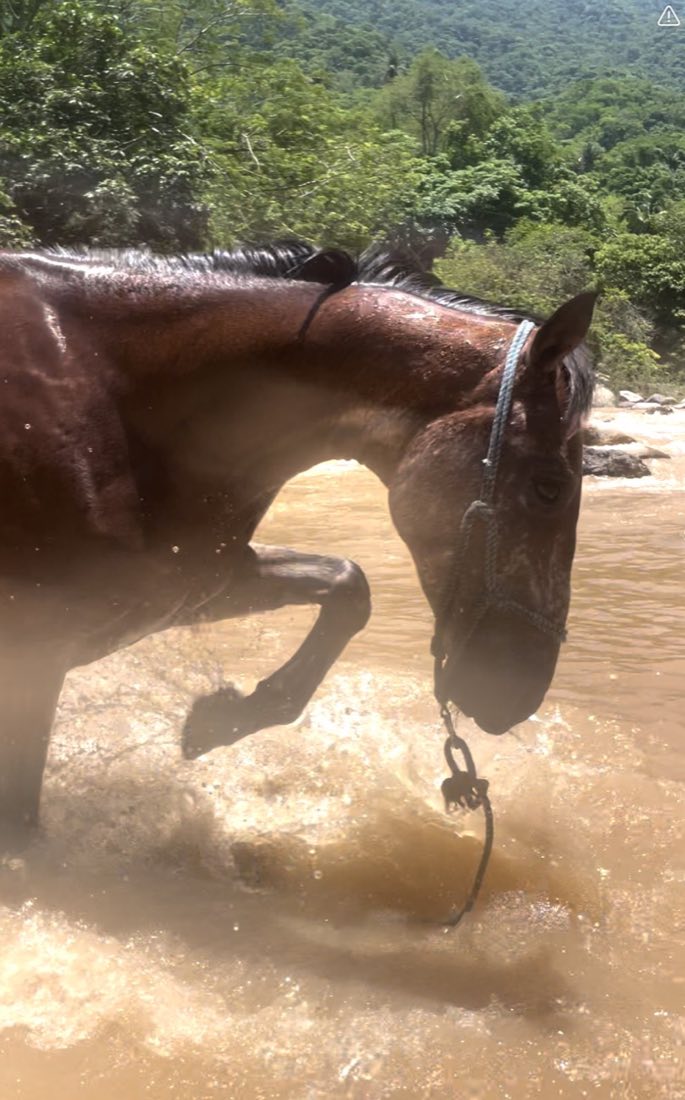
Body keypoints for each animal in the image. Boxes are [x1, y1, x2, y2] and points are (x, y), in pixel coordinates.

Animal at [0, 240, 595, 833]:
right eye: (550, 487)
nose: (518, 695)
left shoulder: (193, 586)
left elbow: (348, 585)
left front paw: (223, 718)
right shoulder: (36, 653)